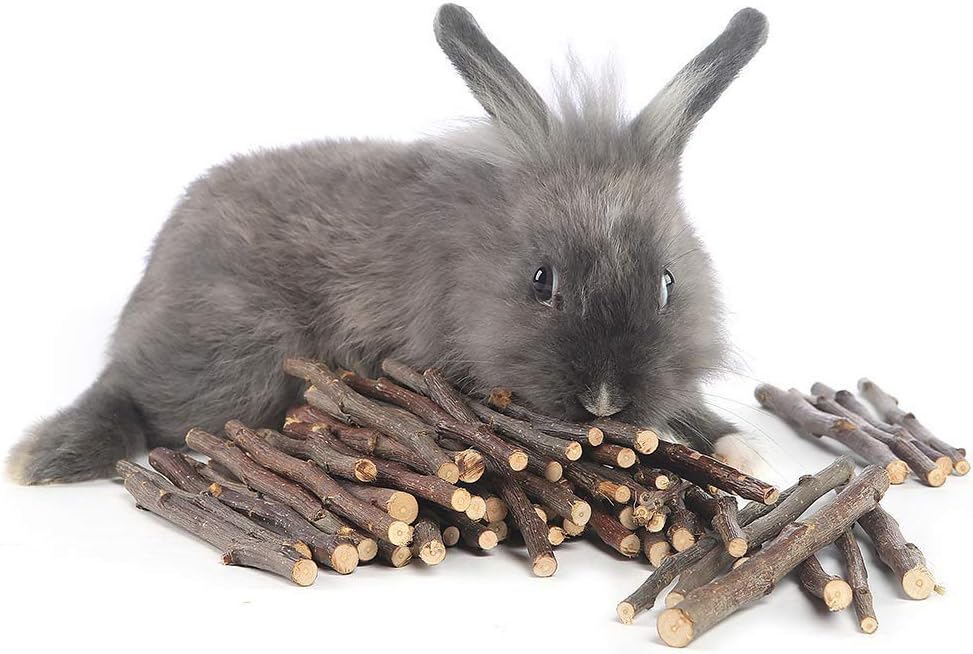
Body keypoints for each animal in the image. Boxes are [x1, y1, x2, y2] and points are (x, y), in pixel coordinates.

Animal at [8, 4, 772, 485]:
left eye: (668, 284)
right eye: (541, 281)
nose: (607, 401)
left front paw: (746, 451)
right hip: (231, 357)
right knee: (130, 392)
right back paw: (47, 455)